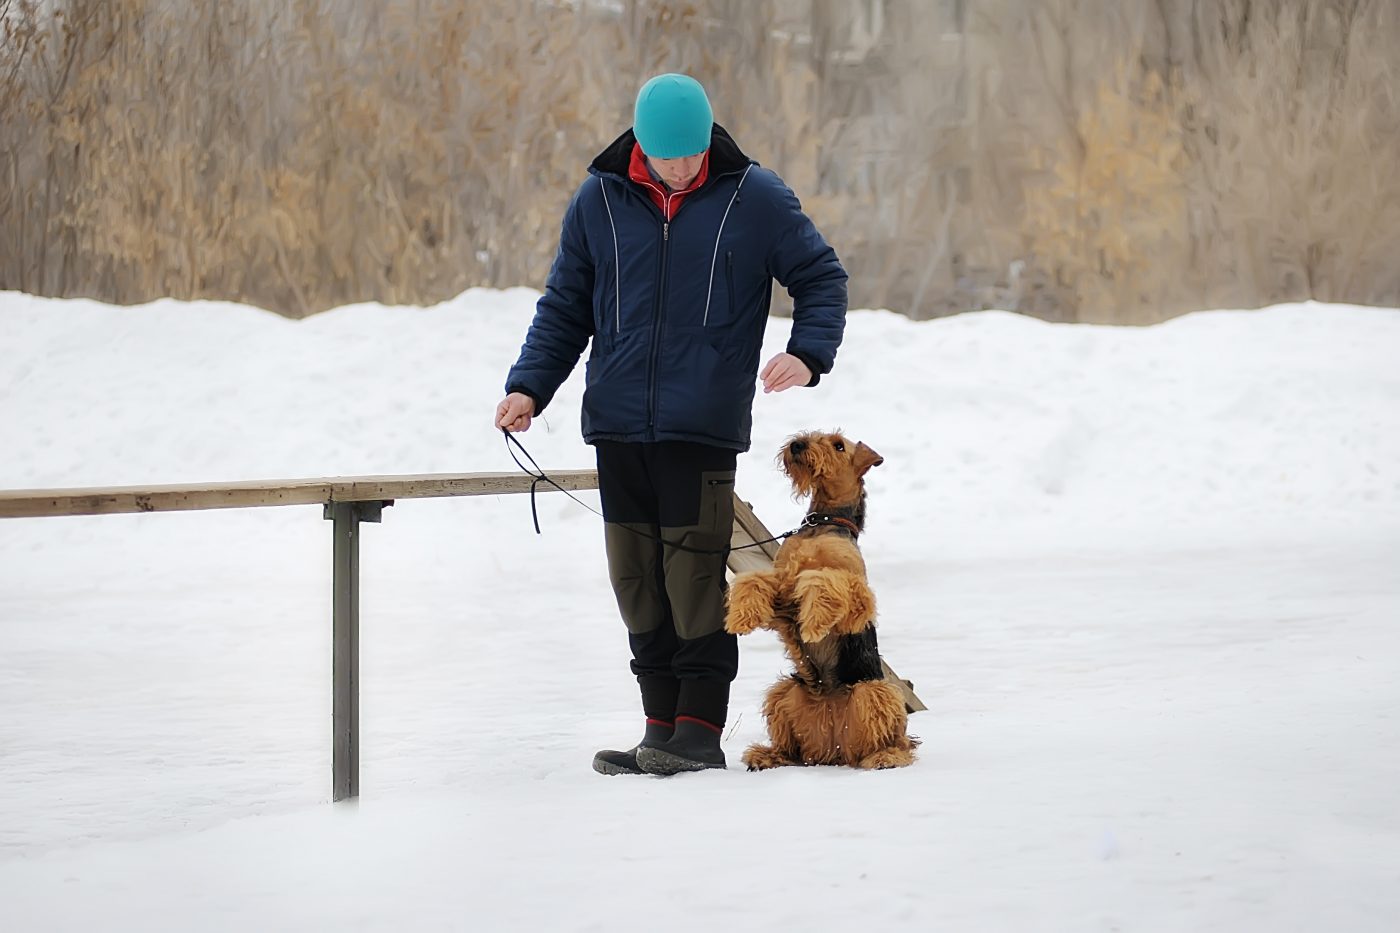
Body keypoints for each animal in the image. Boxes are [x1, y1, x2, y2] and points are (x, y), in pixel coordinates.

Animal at [722, 431, 918, 767]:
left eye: (839, 445)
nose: (797, 445)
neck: (824, 522)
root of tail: (834, 749)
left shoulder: (855, 591)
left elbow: (821, 580)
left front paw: (815, 623)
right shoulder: (782, 586)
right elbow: (755, 581)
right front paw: (741, 617)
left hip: (874, 692)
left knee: (899, 742)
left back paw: (884, 757)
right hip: (786, 693)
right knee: (792, 750)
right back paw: (766, 756)